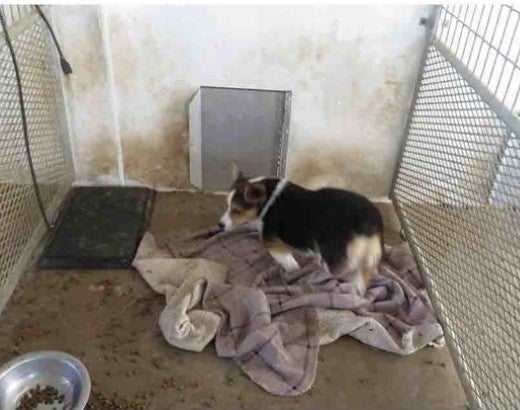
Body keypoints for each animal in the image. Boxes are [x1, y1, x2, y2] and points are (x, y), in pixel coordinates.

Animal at [217, 165, 384, 296]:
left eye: (237, 211)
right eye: (226, 205)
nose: (220, 225)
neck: (267, 199)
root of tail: (367, 220)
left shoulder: (272, 243)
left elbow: (290, 264)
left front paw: (291, 274)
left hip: (333, 257)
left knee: (351, 268)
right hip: (371, 250)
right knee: (369, 268)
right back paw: (359, 288)